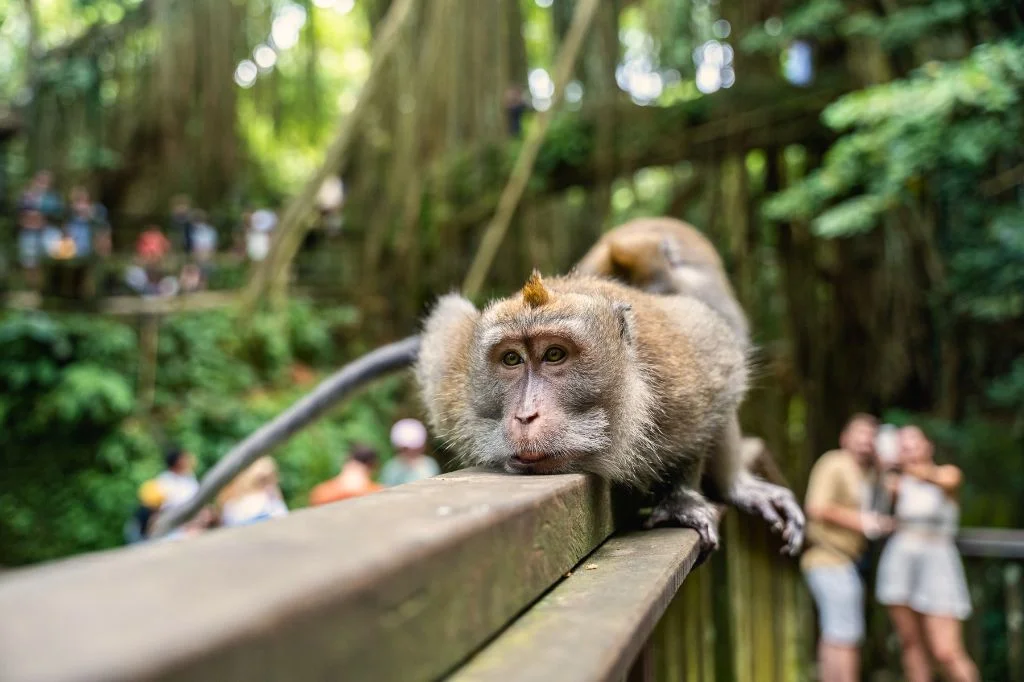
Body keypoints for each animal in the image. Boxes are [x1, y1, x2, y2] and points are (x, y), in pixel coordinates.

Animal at [415, 217, 804, 560]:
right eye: (512, 359)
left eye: (554, 354)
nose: (525, 415)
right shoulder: (451, 383)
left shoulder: (686, 371)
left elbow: (717, 384)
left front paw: (682, 496)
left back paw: (735, 486)